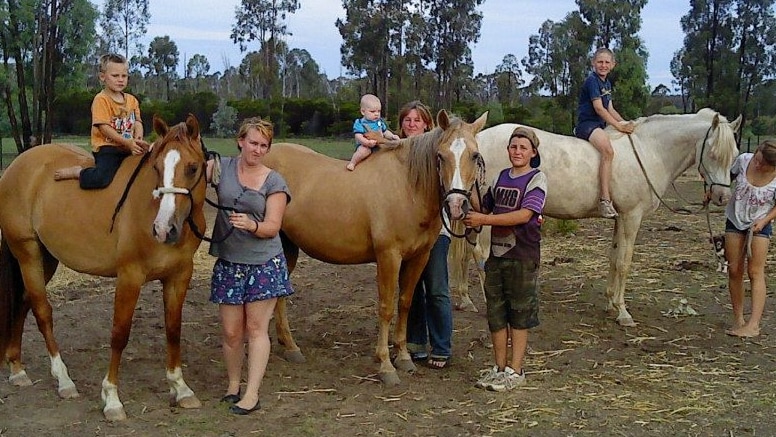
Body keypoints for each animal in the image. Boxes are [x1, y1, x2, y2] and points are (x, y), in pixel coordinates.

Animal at [0, 114, 206, 420]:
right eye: (157, 167)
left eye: (192, 168)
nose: (163, 228)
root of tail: (16, 166)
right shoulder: (130, 276)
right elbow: (119, 334)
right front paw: (111, 399)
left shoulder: (179, 276)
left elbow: (173, 329)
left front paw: (180, 388)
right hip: (27, 253)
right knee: (41, 311)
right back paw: (63, 380)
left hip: (45, 258)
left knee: (24, 303)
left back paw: (17, 369)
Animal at [264, 110, 488, 384]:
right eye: (440, 155)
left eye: (475, 155)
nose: (457, 204)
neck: (407, 187)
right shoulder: (388, 256)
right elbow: (386, 308)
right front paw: (385, 366)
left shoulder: (419, 257)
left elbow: (405, 303)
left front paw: (403, 357)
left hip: (287, 248)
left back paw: (289, 347)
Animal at [448, 107, 740, 326]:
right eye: (714, 154)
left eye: (735, 155)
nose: (723, 197)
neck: (650, 151)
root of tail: (477, 141)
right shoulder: (631, 218)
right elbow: (624, 263)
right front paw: (623, 312)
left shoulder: (620, 219)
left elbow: (613, 258)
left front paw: (611, 304)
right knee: (481, 254)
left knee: (465, 254)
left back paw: (465, 300)